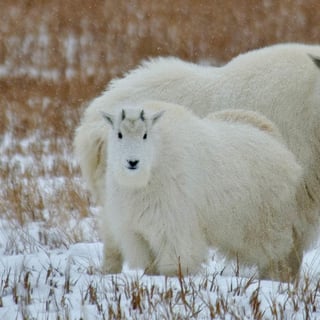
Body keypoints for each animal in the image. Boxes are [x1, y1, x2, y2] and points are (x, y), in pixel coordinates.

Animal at [100, 101, 302, 282]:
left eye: (145, 135)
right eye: (119, 134)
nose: (132, 162)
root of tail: (278, 144)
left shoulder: (174, 222)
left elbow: (176, 257)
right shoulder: (136, 229)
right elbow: (150, 262)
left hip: (268, 223)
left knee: (274, 255)